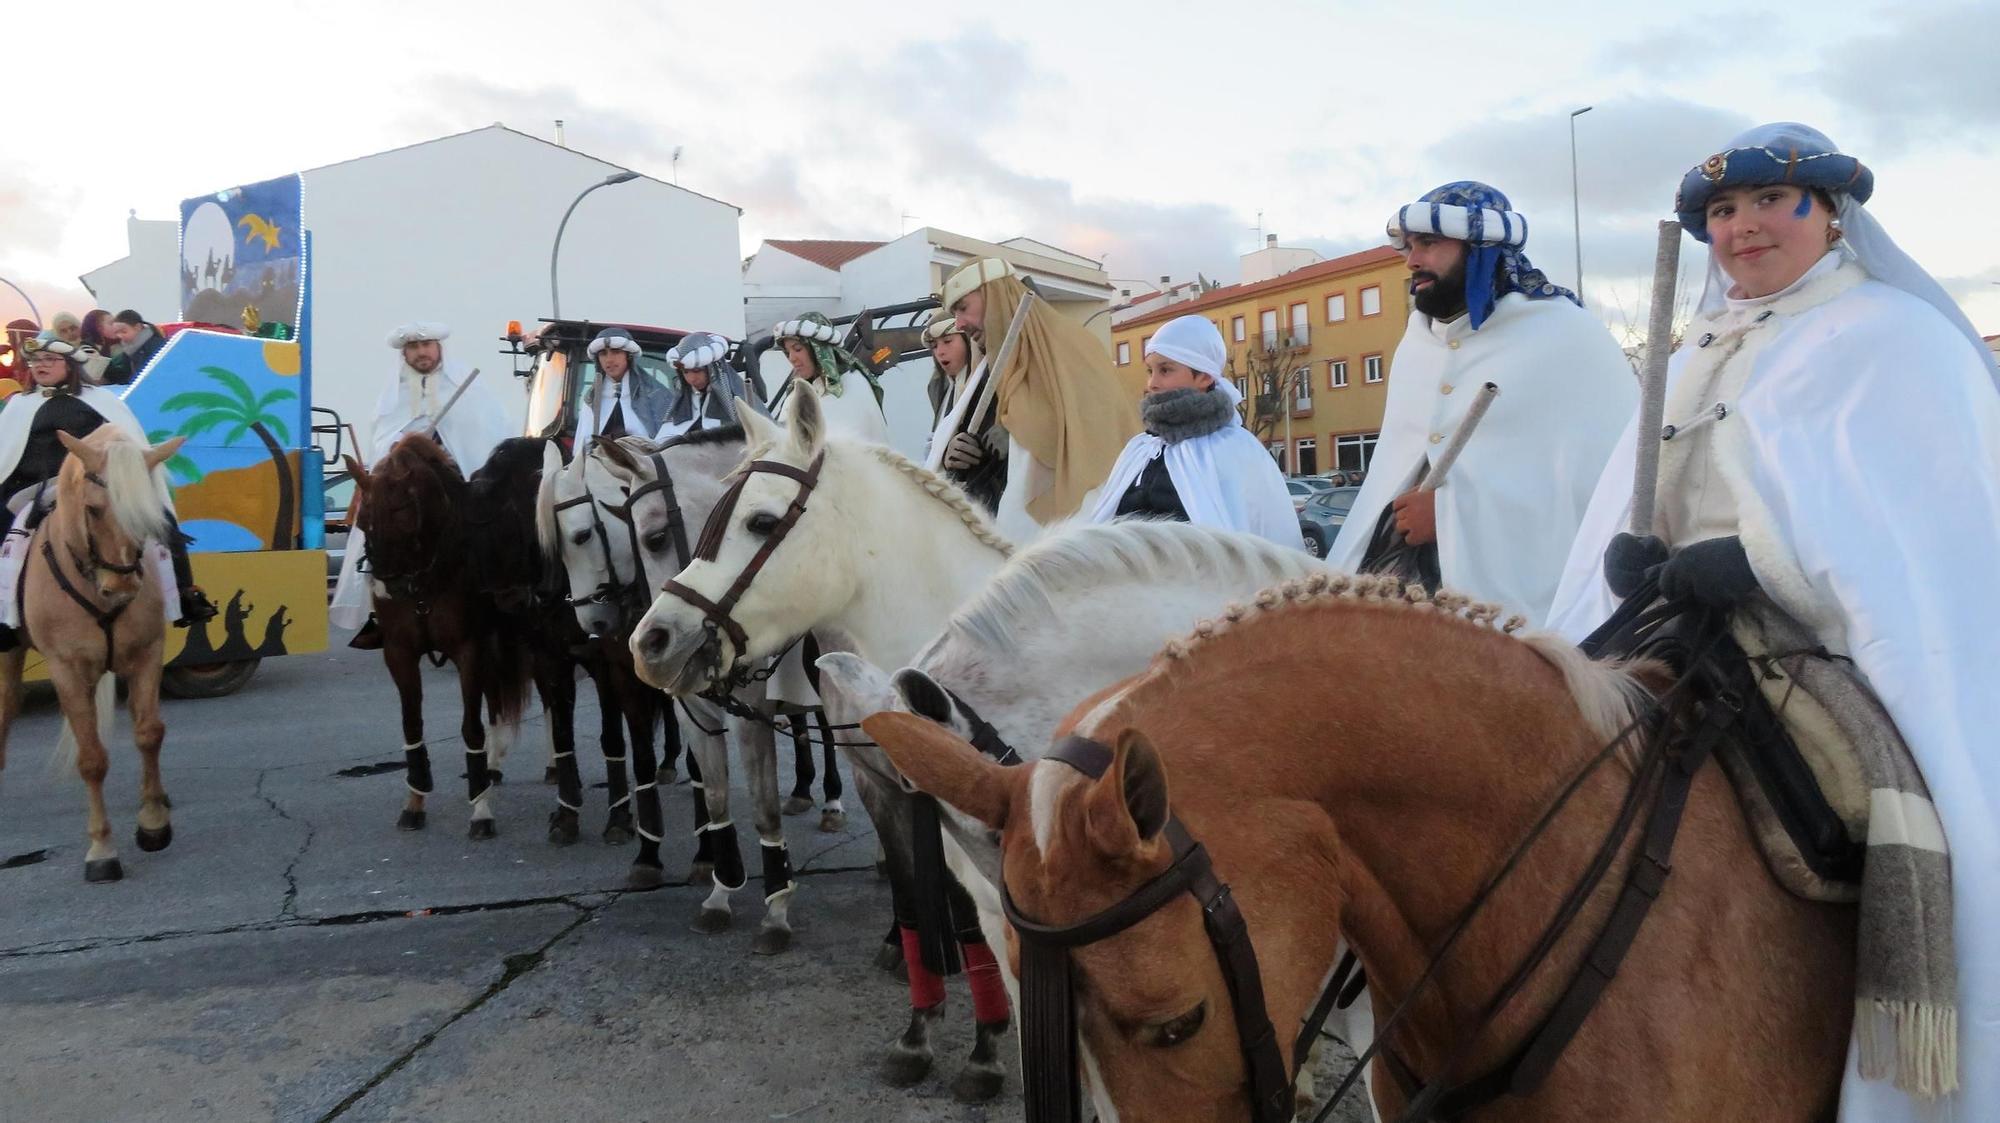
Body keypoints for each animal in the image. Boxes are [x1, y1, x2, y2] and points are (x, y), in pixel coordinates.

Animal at [0, 423, 182, 879]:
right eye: (94, 510)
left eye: (147, 513)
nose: (122, 588)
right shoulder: (66, 669)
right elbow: (92, 759)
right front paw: (102, 849)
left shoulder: (147, 654)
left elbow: (149, 733)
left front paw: (153, 822)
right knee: (7, 706)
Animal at [346, 433, 528, 835]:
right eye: (363, 520)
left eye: (401, 512)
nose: (386, 588)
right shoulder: (399, 653)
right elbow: (411, 725)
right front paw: (415, 800)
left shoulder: (469, 650)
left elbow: (471, 727)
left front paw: (480, 809)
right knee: (496, 699)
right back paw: (493, 767)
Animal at [540, 427, 796, 951]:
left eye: (655, 538)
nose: (592, 623)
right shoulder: (687, 707)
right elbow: (714, 794)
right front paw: (719, 889)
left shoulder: (751, 714)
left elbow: (762, 806)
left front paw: (776, 910)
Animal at [632, 383, 1024, 1095]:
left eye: (761, 523)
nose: (650, 641)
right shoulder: (893, 792)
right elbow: (918, 904)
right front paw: (920, 1034)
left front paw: (983, 1049)